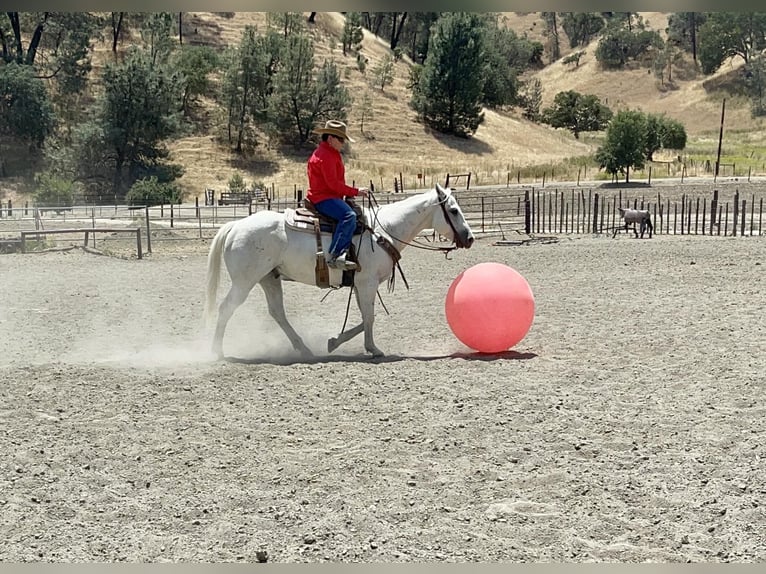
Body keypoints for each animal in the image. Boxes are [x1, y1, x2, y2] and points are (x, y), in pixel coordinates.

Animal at [204, 184, 474, 360]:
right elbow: (369, 317)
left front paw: (336, 342)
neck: (383, 230)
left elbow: (365, 317)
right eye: (453, 210)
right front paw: (373, 349)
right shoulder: (367, 283)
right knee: (226, 308)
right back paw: (216, 351)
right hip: (244, 281)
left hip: (268, 278)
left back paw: (303, 349)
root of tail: (235, 225)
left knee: (277, 312)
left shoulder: (360, 285)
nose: (470, 238)